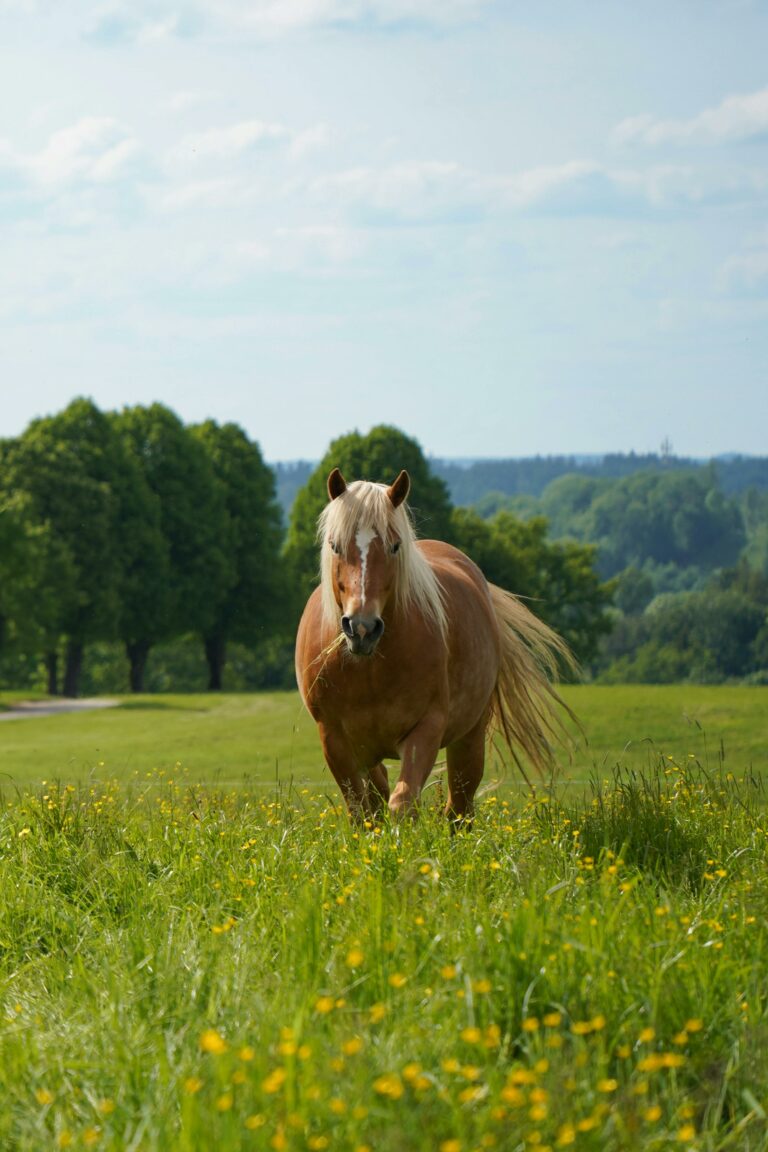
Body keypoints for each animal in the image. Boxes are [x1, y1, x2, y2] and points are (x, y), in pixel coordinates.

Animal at [295, 467, 575, 823]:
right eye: (335, 546)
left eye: (395, 546)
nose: (362, 628)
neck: (370, 670)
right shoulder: (334, 739)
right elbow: (362, 810)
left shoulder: (426, 729)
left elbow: (402, 804)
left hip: (469, 738)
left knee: (459, 806)